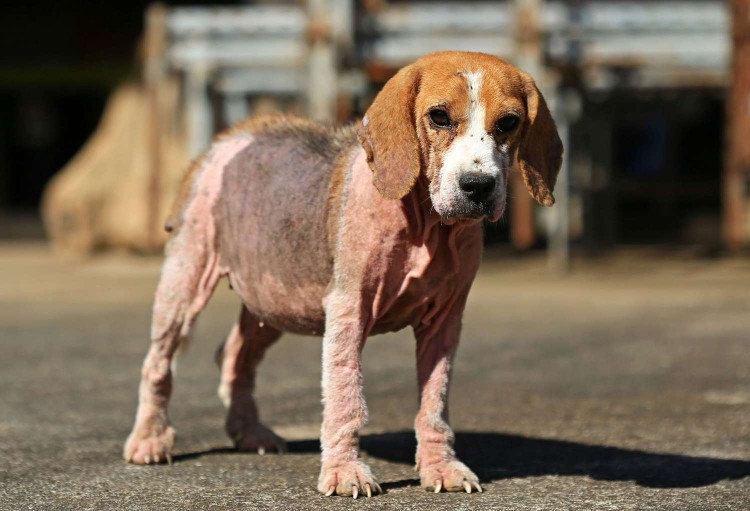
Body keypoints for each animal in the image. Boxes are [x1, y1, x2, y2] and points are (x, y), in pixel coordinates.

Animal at [123, 52, 560, 500]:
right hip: (186, 279)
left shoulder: (445, 322)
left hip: (274, 300)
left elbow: (434, 403)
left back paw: (249, 432)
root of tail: (233, 133)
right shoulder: (348, 309)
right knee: (158, 363)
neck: (427, 226)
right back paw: (149, 439)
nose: (478, 186)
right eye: (439, 117)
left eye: (508, 122)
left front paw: (440, 466)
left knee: (233, 354)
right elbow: (345, 396)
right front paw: (345, 471)